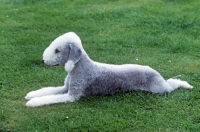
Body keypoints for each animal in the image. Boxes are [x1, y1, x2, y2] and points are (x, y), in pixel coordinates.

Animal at [24, 32, 193, 107]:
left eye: (57, 50)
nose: (43, 61)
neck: (80, 67)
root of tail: (157, 74)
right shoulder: (65, 88)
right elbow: (48, 90)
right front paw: (31, 95)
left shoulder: (72, 95)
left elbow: (50, 98)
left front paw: (32, 102)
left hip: (160, 89)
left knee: (173, 84)